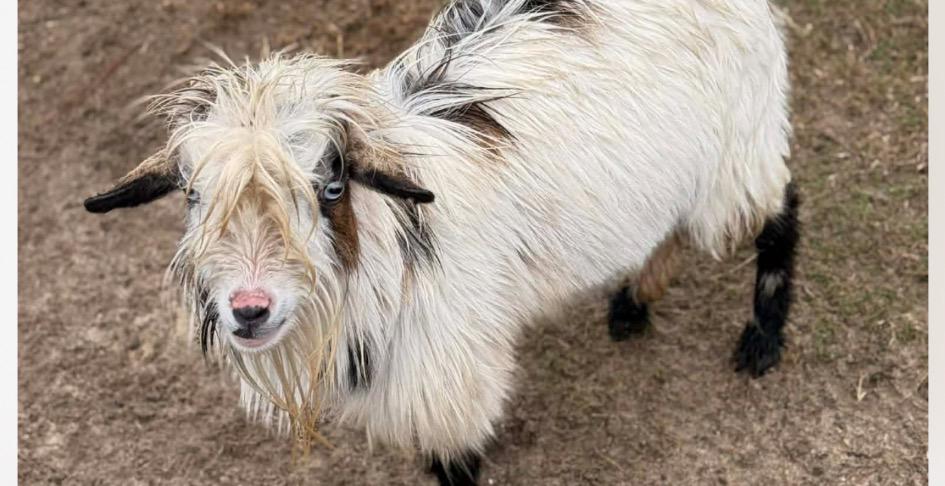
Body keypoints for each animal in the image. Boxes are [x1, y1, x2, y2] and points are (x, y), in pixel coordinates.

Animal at [84, 0, 800, 484]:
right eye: (191, 194)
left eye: (331, 187)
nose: (249, 309)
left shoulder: (447, 380)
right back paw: (633, 303)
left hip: (737, 148)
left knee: (780, 210)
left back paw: (761, 339)